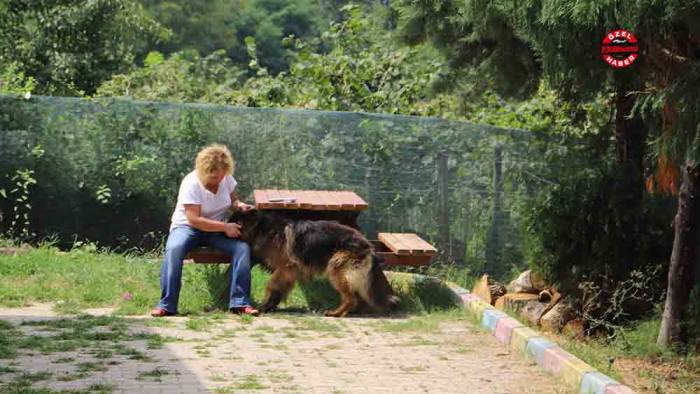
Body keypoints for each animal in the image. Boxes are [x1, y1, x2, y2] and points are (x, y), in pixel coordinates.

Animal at [227, 209, 396, 318]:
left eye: (232, 222)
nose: (222, 226)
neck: (261, 228)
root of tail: (367, 246)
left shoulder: (286, 268)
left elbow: (271, 285)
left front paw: (265, 305)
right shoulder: (288, 272)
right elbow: (279, 289)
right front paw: (271, 305)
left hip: (336, 268)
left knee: (351, 298)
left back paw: (335, 313)